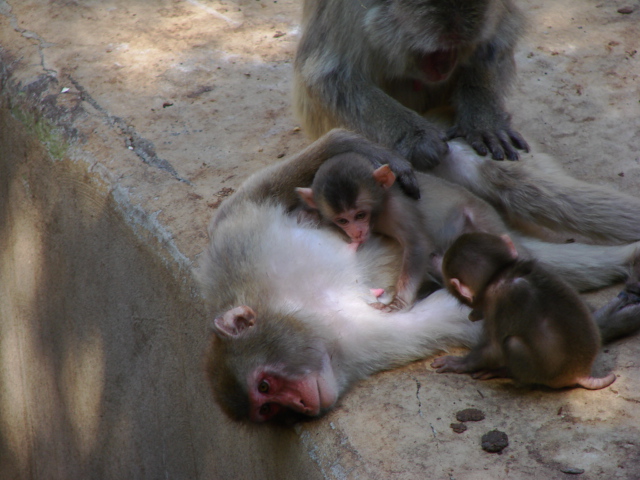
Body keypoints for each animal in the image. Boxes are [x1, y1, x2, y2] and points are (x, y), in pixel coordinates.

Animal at [201, 129, 640, 422]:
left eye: (264, 386)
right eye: (270, 409)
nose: (303, 406)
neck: (302, 309)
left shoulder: (240, 244)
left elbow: (259, 193)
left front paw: (355, 146)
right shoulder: (354, 345)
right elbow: (439, 321)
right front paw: (604, 326)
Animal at [292, 0, 528, 165]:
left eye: (458, 46)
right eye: (437, 50)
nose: (446, 67)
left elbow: (496, 38)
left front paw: (484, 121)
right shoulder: (345, 9)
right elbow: (331, 76)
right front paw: (417, 138)